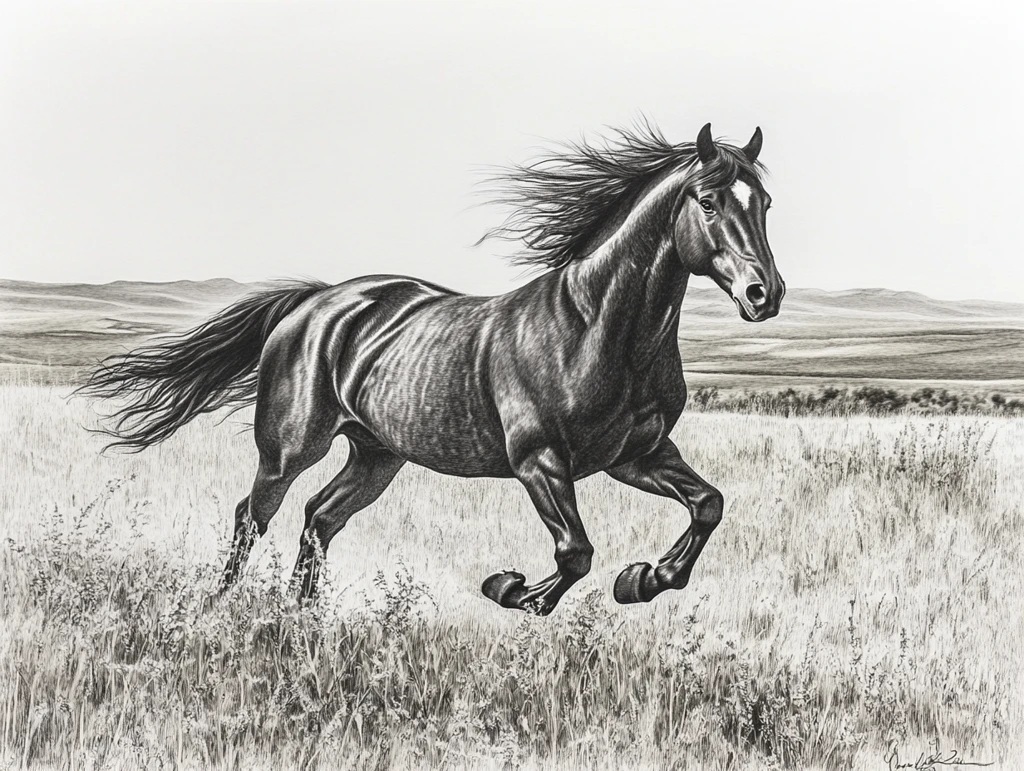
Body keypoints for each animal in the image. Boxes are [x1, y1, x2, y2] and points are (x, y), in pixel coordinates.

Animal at [81, 122, 784, 615]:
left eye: (766, 203)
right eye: (708, 200)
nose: (765, 294)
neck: (595, 329)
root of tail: (314, 301)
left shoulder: (636, 454)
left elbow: (709, 504)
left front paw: (644, 580)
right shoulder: (540, 463)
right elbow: (576, 553)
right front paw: (511, 589)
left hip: (376, 454)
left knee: (319, 518)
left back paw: (303, 617)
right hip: (289, 448)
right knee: (253, 515)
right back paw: (222, 603)